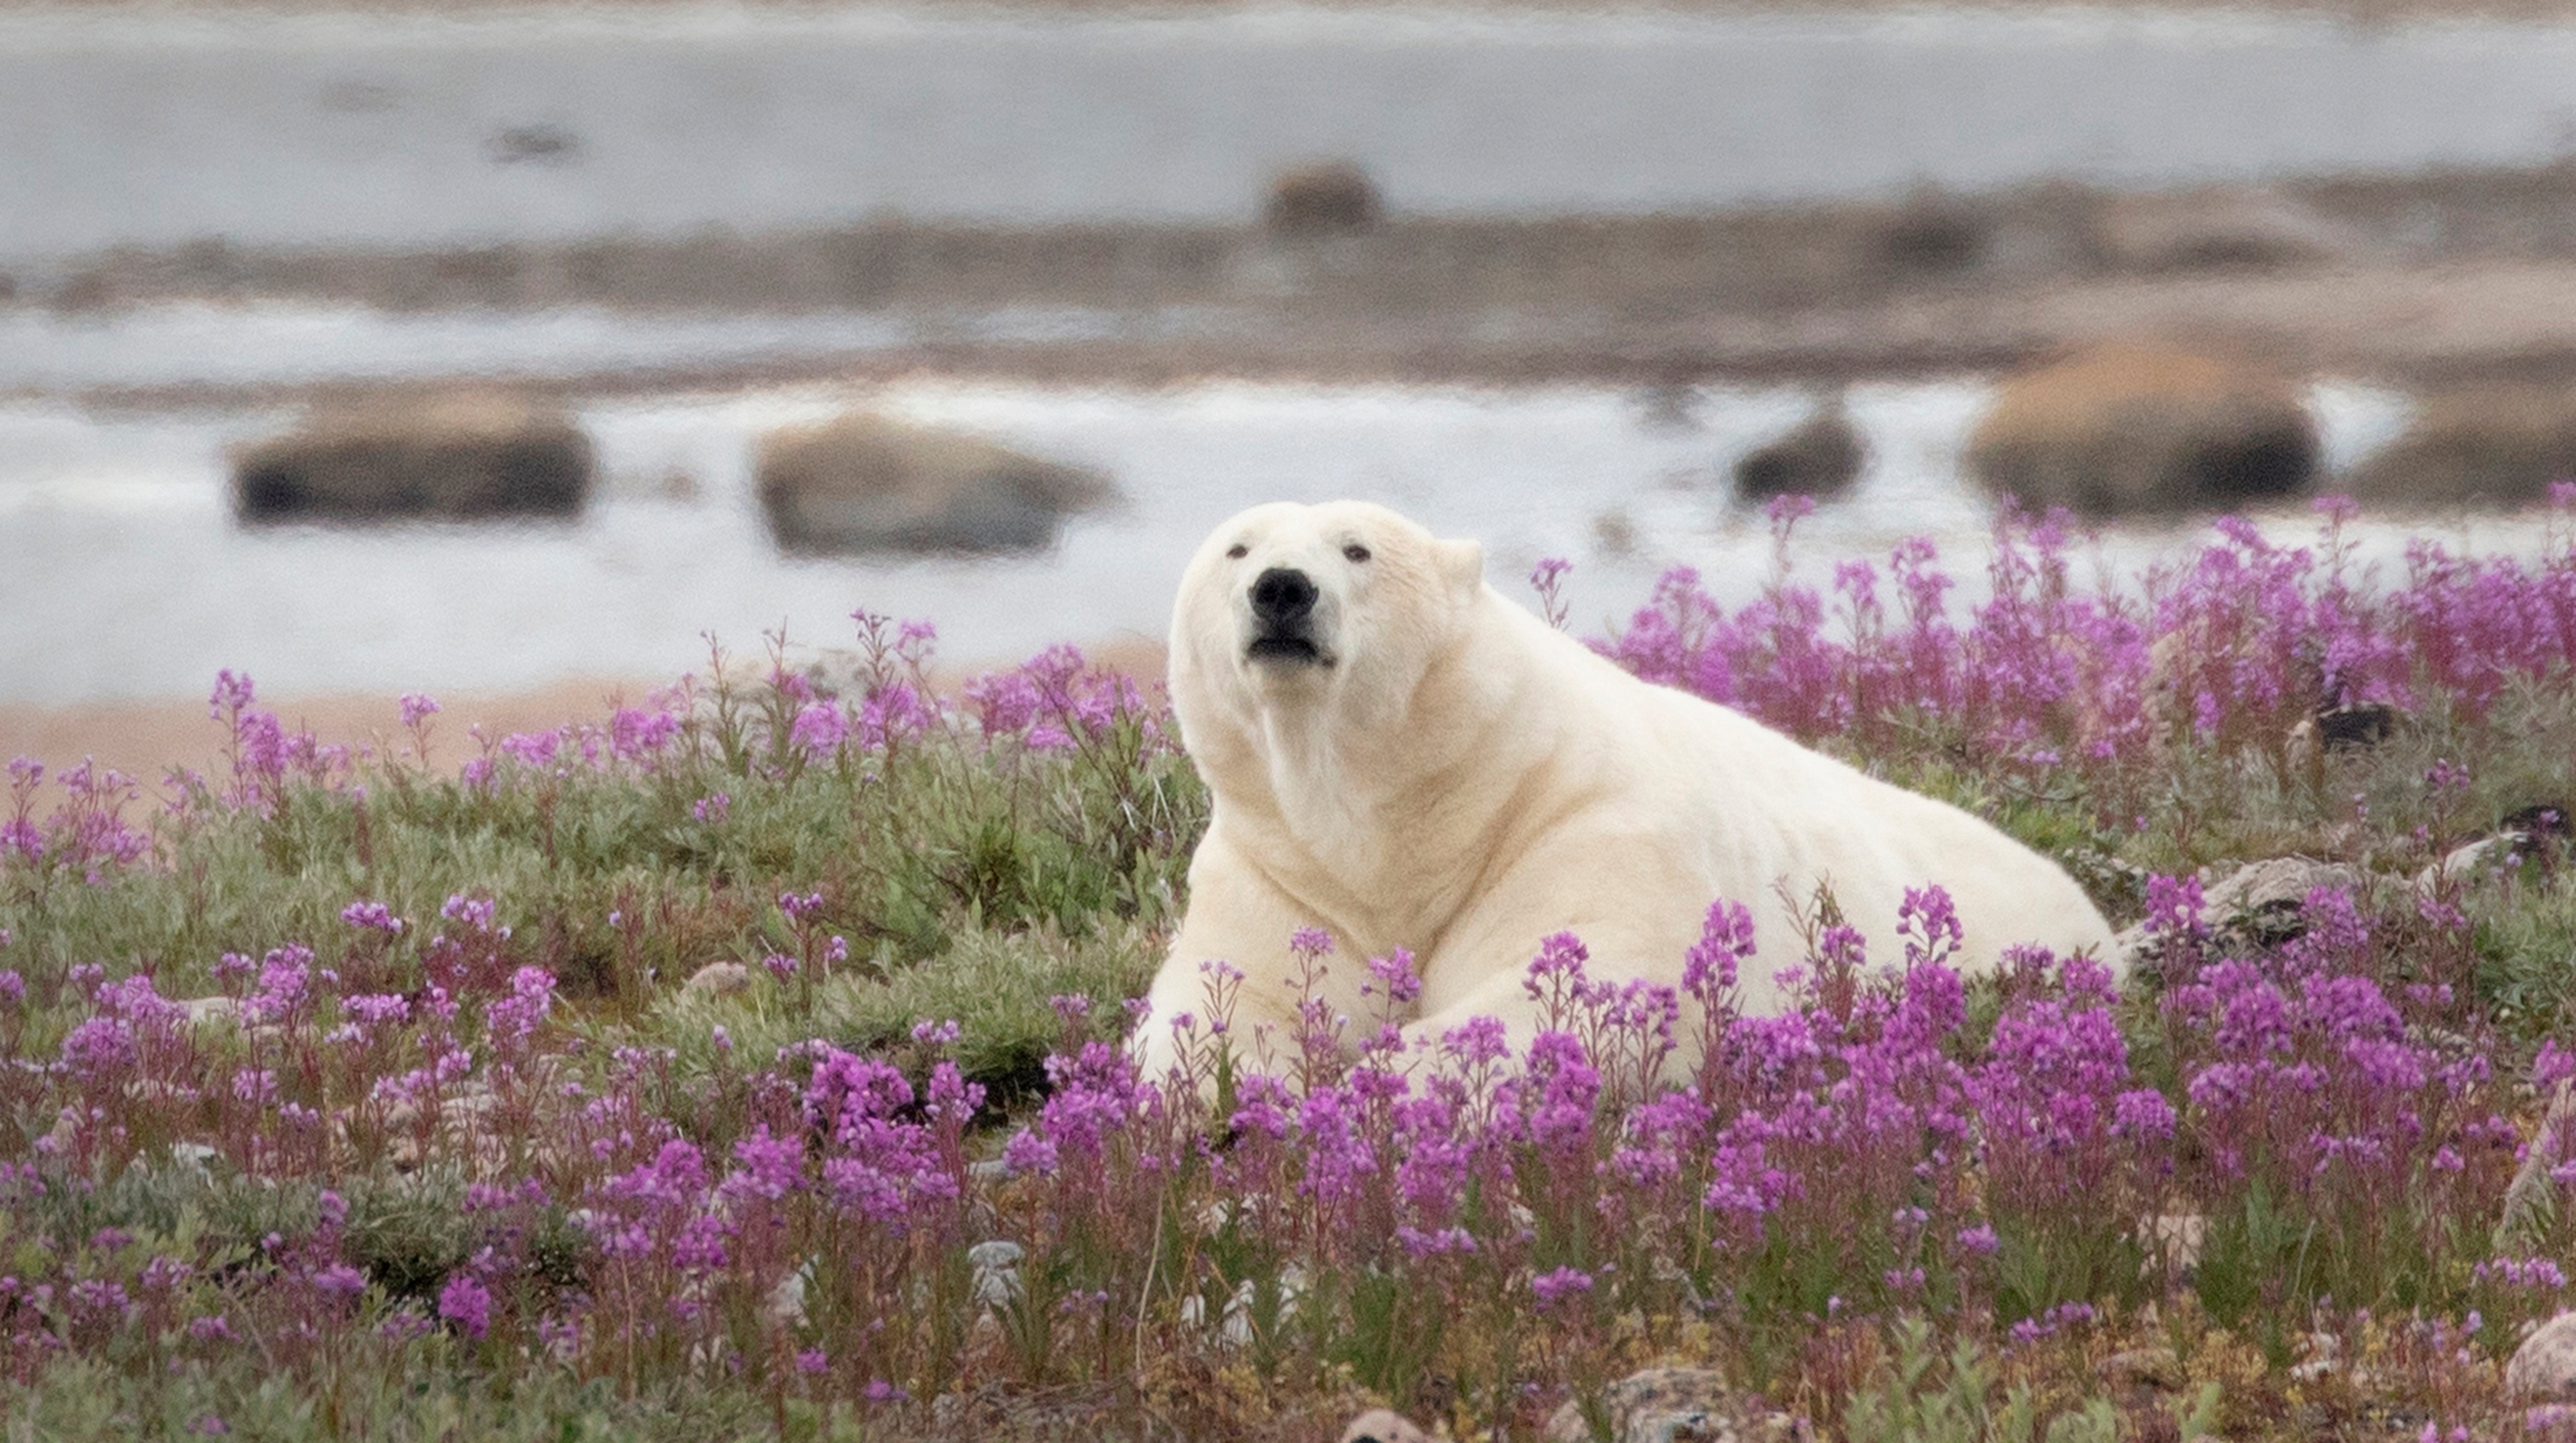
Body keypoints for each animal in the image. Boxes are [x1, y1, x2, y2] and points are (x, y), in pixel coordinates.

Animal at [1128, 502, 2112, 1077]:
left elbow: (1593, 972)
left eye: (1358, 549)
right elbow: (1217, 1004)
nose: (1281, 590)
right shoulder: (1283, 874)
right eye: (1236, 550)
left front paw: (1381, 1083)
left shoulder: (1577, 823)